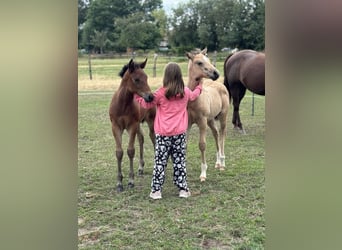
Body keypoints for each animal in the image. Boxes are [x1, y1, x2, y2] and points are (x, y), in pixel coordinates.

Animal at [109, 58, 156, 191]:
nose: (150, 97)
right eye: (136, 79)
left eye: (146, 77)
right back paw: (140, 168)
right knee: (141, 139)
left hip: (150, 122)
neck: (123, 104)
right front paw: (119, 182)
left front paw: (130, 181)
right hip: (139, 125)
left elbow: (130, 151)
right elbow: (119, 152)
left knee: (153, 139)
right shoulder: (116, 127)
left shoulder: (132, 126)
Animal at [186, 48, 231, 182]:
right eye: (199, 62)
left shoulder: (202, 122)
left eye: (209, 60)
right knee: (216, 134)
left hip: (222, 117)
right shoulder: (188, 123)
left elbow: (202, 145)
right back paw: (217, 162)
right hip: (210, 120)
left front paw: (203, 174)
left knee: (222, 134)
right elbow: (184, 144)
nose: (216, 73)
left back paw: (222, 163)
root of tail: (220, 84)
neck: (194, 99)